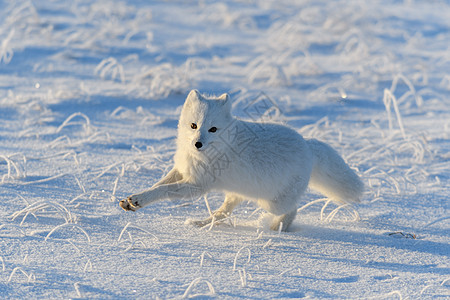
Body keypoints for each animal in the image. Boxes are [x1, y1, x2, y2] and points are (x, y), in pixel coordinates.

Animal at [120, 89, 366, 230]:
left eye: (213, 129)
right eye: (193, 125)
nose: (198, 144)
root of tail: (308, 145)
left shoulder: (197, 185)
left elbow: (164, 190)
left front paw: (139, 200)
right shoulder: (182, 170)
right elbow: (158, 185)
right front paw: (132, 201)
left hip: (271, 201)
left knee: (292, 210)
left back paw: (276, 228)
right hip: (237, 193)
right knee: (222, 212)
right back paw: (201, 223)